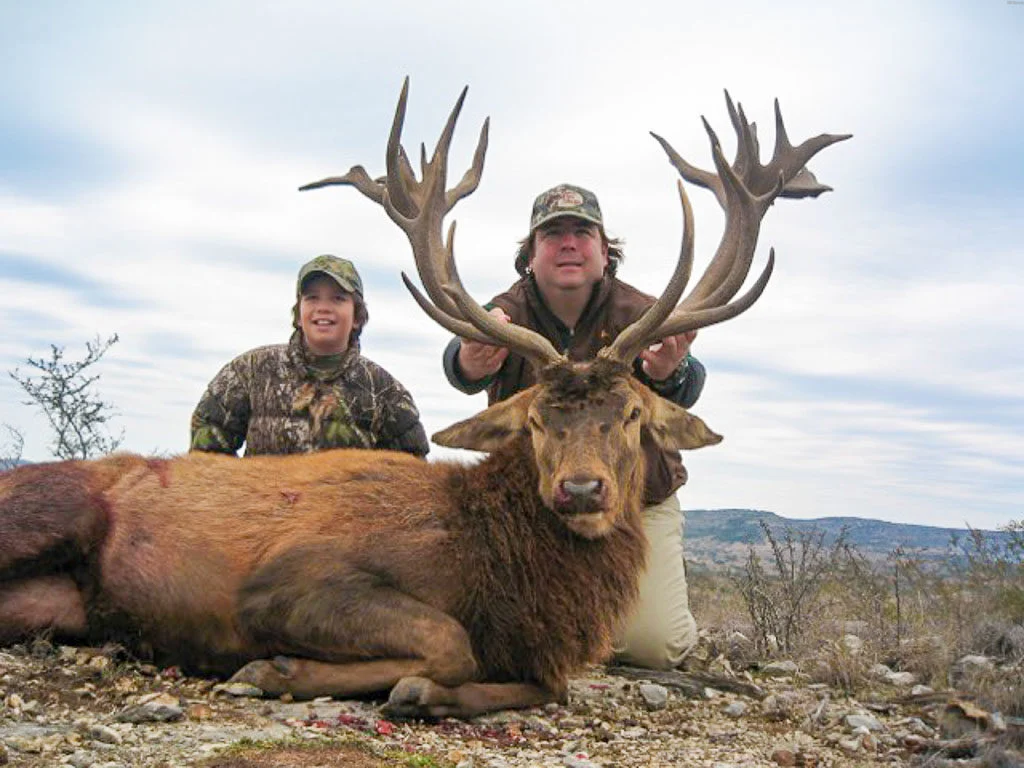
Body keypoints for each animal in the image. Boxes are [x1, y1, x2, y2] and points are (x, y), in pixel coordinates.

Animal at [0, 80, 848, 718]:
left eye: (632, 414)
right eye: (537, 419)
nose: (581, 490)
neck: (497, 572)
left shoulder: (540, 658)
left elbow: (541, 683)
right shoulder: (287, 582)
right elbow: (447, 643)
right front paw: (279, 671)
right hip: (46, 512)